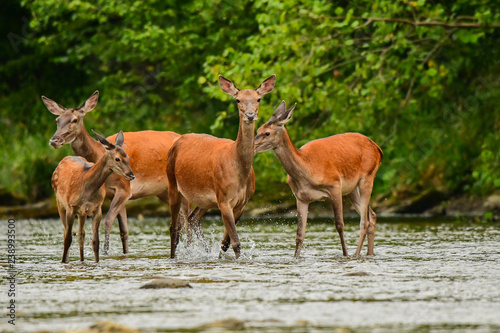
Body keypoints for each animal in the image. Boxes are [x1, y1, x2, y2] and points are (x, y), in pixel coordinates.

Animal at [41, 92, 188, 253]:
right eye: (57, 120)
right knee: (182, 219)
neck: (99, 152)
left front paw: (105, 252)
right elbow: (124, 231)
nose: (54, 140)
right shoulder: (114, 193)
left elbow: (108, 220)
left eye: (75, 119)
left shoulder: (125, 188)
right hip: (162, 192)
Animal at [168, 74, 278, 258]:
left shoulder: (243, 202)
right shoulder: (224, 198)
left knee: (192, 219)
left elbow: (225, 242)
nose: (250, 115)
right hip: (172, 183)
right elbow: (236, 242)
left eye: (258, 99)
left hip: (204, 199)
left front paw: (221, 257)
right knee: (174, 227)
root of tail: (177, 140)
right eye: (238, 100)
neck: (239, 172)